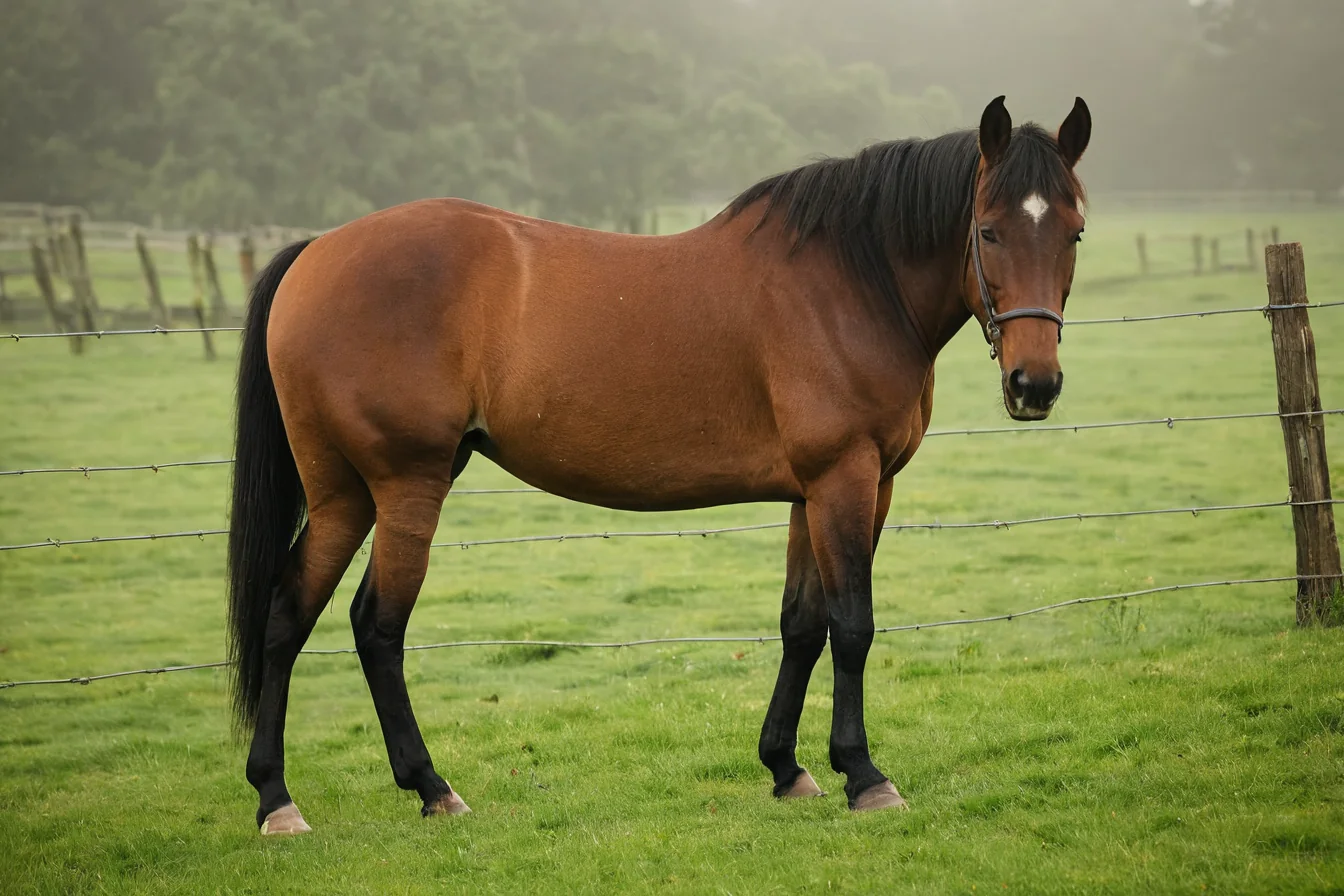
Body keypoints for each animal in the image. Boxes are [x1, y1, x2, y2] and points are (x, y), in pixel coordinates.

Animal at [228, 95, 1091, 834]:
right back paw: (427, 788)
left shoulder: (821, 493)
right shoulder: (845, 479)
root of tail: (317, 251)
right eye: (988, 231)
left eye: (1075, 232)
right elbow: (852, 625)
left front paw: (787, 767)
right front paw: (865, 776)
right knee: (377, 627)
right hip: (406, 483)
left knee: (287, 615)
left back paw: (277, 795)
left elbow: (802, 624)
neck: (852, 280)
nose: (1035, 384)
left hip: (343, 494)